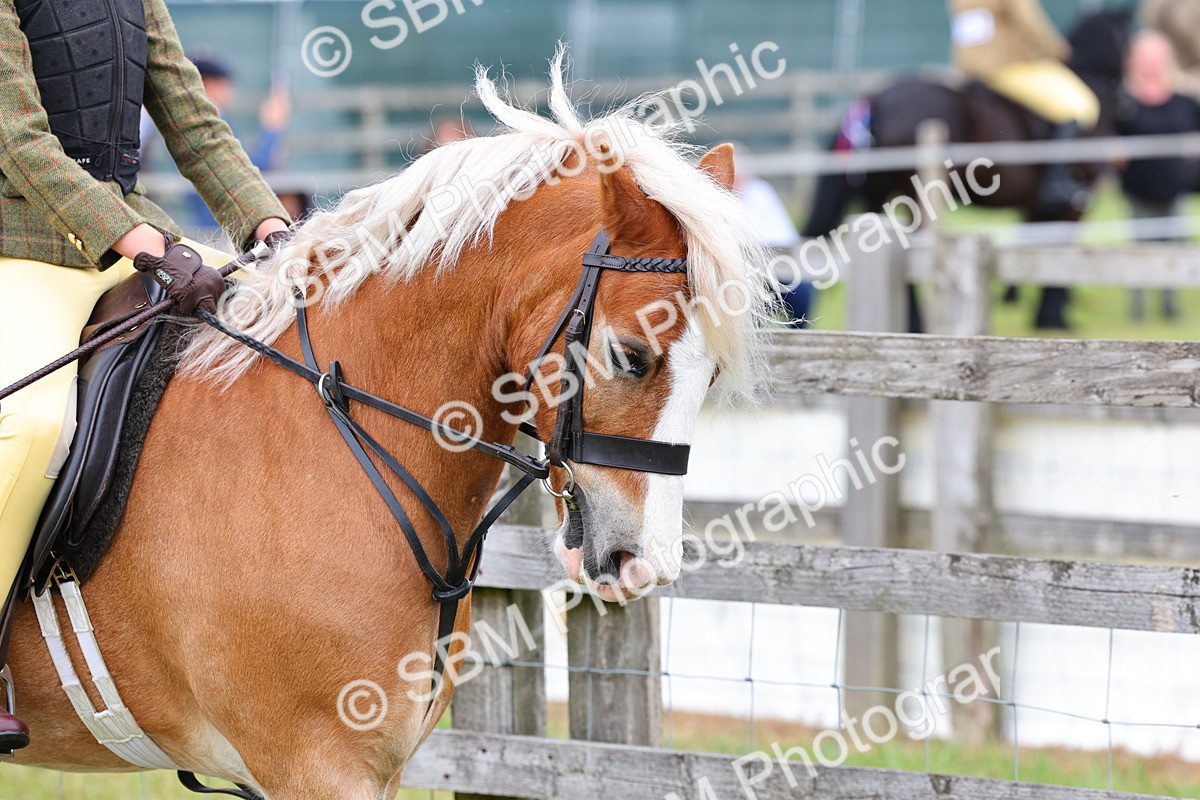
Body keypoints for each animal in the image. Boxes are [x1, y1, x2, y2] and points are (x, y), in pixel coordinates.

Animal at [803, 9, 1133, 331]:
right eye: (1127, 40)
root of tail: (875, 100)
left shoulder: (1038, 206)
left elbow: (1039, 245)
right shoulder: (1076, 202)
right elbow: (1059, 248)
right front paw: (1053, 318)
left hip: (879, 197)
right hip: (915, 200)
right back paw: (917, 324)